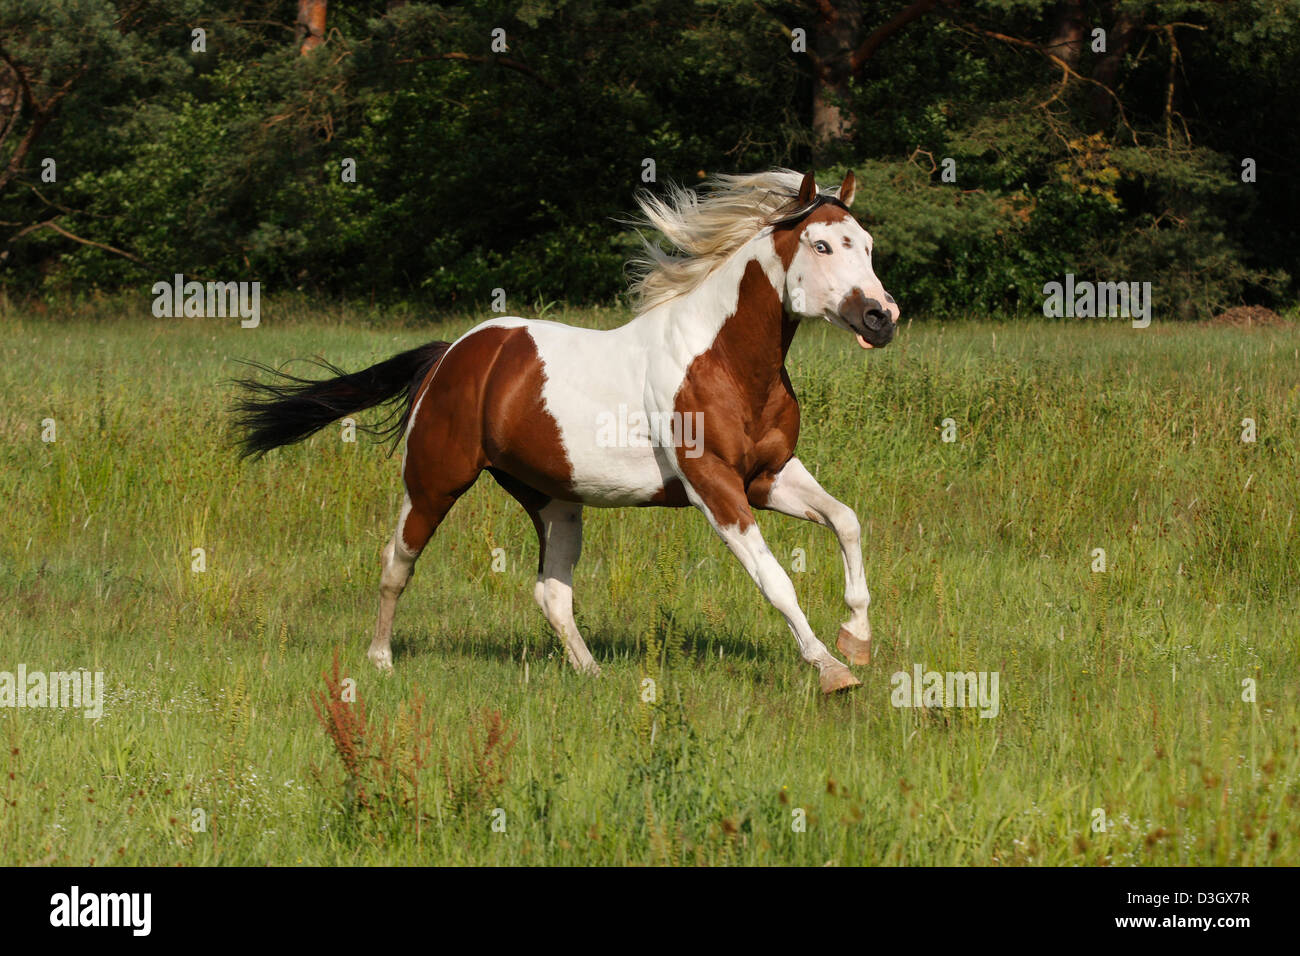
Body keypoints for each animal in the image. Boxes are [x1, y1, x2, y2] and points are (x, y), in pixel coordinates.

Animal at [236, 167, 894, 697]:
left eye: (865, 245)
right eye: (821, 244)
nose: (881, 317)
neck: (724, 361)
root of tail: (453, 353)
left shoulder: (768, 476)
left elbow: (847, 520)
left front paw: (856, 638)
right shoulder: (714, 484)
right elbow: (776, 579)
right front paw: (833, 671)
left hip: (553, 499)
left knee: (551, 593)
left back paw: (593, 672)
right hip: (433, 481)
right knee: (398, 561)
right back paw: (380, 660)